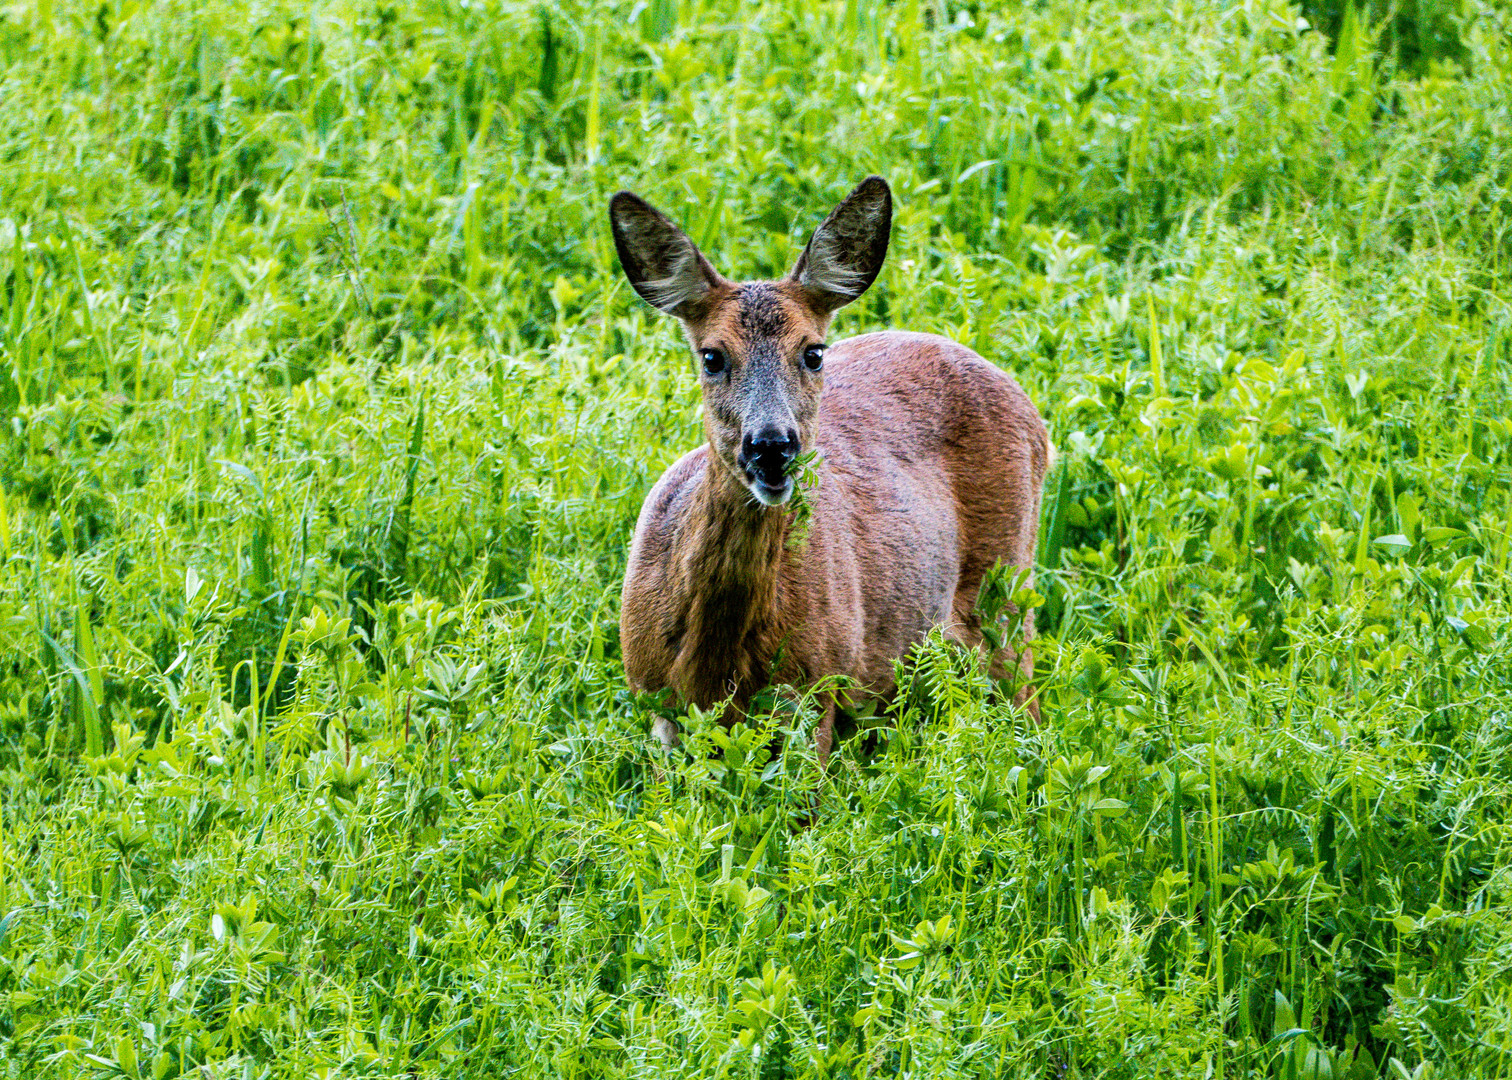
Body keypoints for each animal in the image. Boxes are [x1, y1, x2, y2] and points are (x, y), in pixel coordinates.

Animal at [607, 176, 1046, 762]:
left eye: (813, 352)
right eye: (712, 356)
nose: (771, 446)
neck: (715, 664)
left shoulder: (816, 686)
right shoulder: (654, 701)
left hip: (1006, 584)